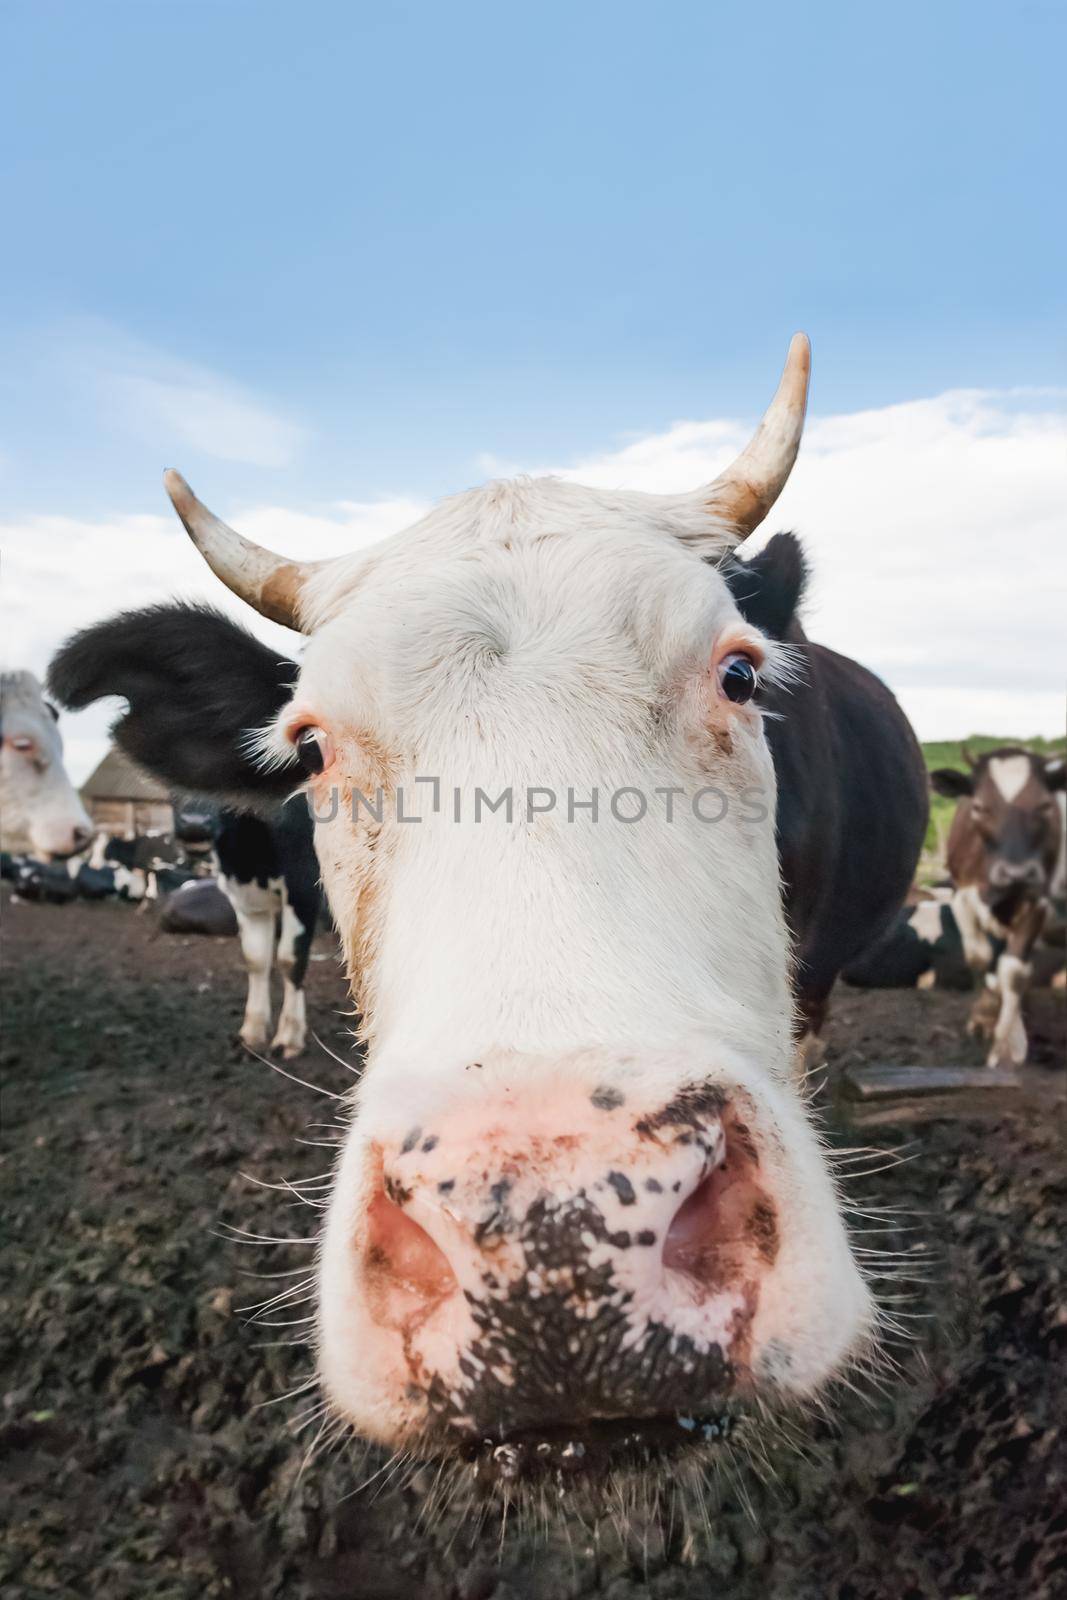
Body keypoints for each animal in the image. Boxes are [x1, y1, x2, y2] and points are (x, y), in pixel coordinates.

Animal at [927, 745, 1062, 1062]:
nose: (1016, 872)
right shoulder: (961, 895)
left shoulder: (1036, 899)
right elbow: (979, 956)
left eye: (1044, 806)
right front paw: (985, 1014)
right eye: (979, 806)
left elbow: (1013, 972)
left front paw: (1005, 1048)